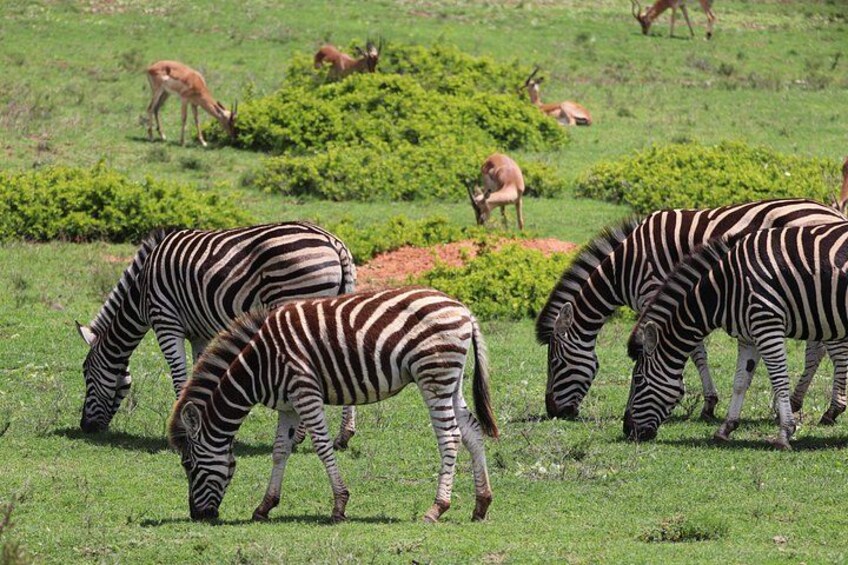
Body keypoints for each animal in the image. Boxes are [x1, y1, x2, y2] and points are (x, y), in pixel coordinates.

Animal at [76, 222, 358, 449]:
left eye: (86, 373)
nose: (85, 427)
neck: (140, 292)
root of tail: (334, 242)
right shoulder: (199, 334)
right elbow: (199, 374)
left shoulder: (165, 320)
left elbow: (179, 376)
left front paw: (182, 431)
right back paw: (343, 436)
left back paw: (299, 436)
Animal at [168, 286, 498, 523]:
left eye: (188, 465)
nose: (198, 516)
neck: (258, 365)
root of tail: (464, 309)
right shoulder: (288, 405)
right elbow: (279, 451)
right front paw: (265, 506)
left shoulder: (305, 392)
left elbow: (322, 447)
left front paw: (339, 505)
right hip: (450, 379)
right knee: (471, 430)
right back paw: (481, 504)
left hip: (433, 376)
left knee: (450, 437)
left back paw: (437, 507)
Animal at [536, 199, 846, 421]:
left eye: (556, 363)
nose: (554, 412)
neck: (624, 268)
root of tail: (832, 212)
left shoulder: (655, 290)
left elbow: (694, 351)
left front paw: (703, 402)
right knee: (817, 349)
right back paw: (794, 402)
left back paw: (829, 410)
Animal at [624, 223, 848, 449]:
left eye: (639, 380)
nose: (627, 431)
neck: (725, 288)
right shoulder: (749, 335)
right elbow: (741, 381)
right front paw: (726, 428)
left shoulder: (767, 324)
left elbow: (779, 380)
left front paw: (784, 433)